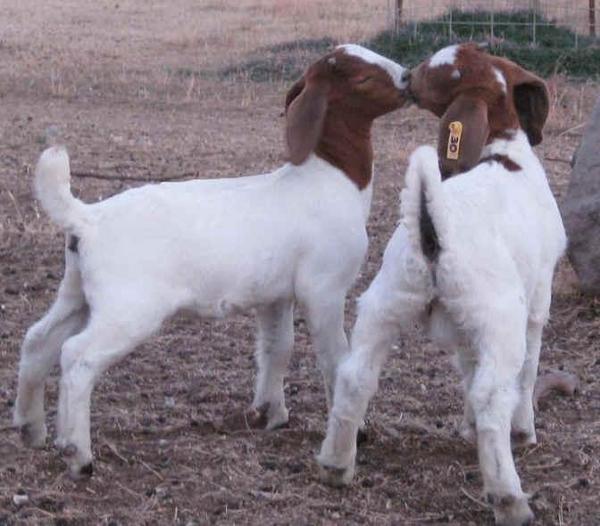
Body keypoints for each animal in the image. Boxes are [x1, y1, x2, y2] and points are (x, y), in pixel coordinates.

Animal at [11, 45, 410, 480]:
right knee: (77, 356)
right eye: (362, 78)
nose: (408, 78)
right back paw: (78, 454)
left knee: (39, 339)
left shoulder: (274, 294)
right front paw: (358, 432)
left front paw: (270, 413)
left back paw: (30, 429)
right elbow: (334, 358)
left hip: (77, 292)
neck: (331, 179)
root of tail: (86, 218)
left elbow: (277, 348)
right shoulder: (324, 288)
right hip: (128, 307)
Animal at [318, 44, 568, 526]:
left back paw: (337, 465)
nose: (408, 76)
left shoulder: (465, 328)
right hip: (501, 316)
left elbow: (469, 371)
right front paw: (524, 430)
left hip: (385, 301)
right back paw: (509, 498)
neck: (504, 150)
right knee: (494, 395)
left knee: (355, 376)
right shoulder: (537, 302)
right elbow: (525, 373)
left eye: (447, 71)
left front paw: (467, 427)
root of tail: (433, 223)